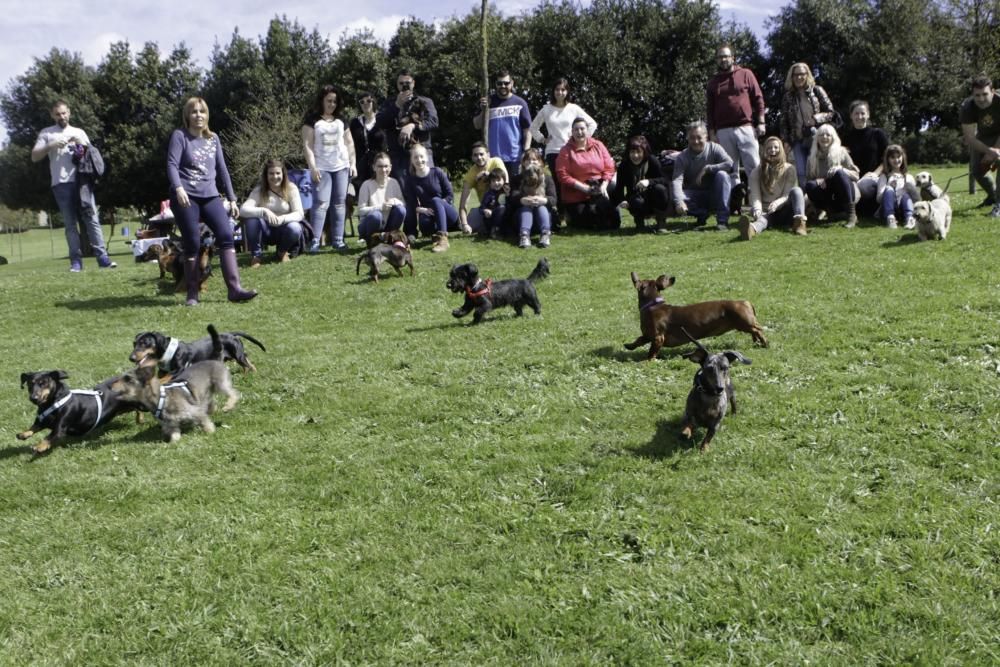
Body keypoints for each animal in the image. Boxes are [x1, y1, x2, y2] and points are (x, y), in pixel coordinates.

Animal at [624, 274, 764, 362]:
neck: (653, 305)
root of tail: (745, 302)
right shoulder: (648, 335)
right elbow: (638, 340)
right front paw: (629, 346)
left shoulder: (658, 338)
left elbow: (652, 351)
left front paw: (648, 360)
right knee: (755, 332)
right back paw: (756, 342)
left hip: (744, 324)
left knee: (758, 330)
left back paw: (764, 343)